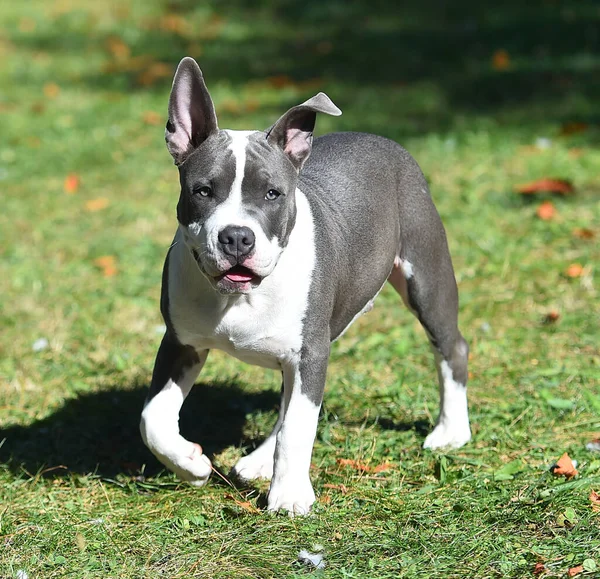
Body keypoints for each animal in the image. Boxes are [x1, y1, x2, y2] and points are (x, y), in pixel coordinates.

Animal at [138, 56, 472, 516]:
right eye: (203, 191)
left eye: (272, 194)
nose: (237, 237)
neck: (241, 298)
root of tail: (381, 140)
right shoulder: (181, 342)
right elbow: (152, 418)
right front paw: (191, 464)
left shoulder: (310, 352)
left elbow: (297, 426)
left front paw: (290, 496)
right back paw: (259, 461)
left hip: (426, 274)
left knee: (451, 346)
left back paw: (451, 432)